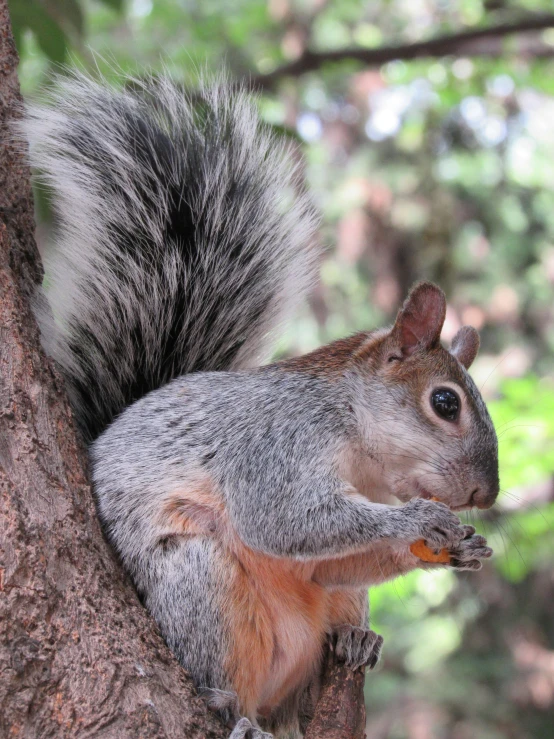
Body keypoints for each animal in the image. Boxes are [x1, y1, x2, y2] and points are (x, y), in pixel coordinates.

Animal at [22, 71, 496, 739]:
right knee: (224, 681)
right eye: (445, 403)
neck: (361, 453)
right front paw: (416, 522)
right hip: (199, 585)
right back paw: (235, 713)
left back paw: (354, 643)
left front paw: (462, 547)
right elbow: (283, 520)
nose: (487, 495)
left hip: (328, 622)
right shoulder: (276, 442)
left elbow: (328, 561)